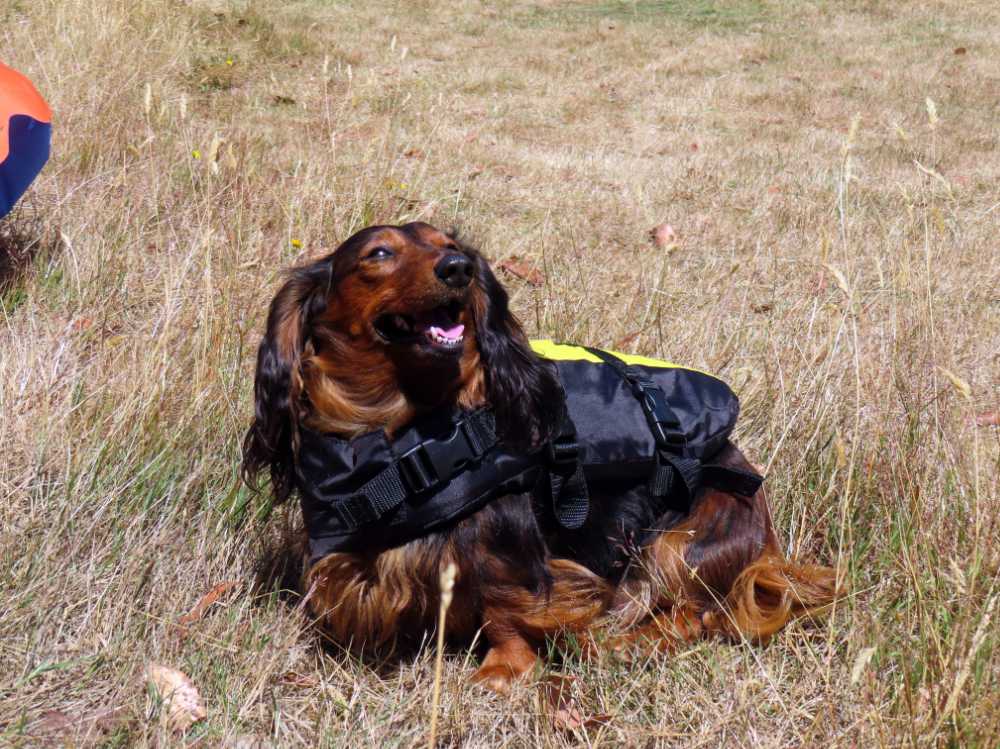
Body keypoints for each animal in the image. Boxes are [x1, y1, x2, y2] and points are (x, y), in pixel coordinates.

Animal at [240, 221, 836, 688]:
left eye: (448, 244)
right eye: (379, 254)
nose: (458, 268)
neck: (394, 425)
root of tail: (768, 541)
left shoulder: (504, 539)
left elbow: (508, 600)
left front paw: (504, 668)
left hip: (680, 542)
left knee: (701, 613)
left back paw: (633, 642)